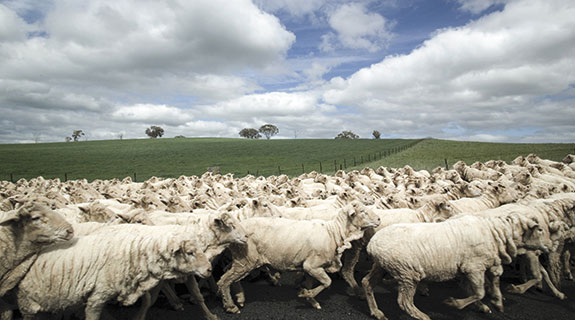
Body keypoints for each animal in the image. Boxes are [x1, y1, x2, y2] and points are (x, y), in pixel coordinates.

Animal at [16, 225, 213, 320]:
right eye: (190, 252)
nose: (210, 269)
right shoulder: (98, 295)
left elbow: (195, 296)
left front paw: (210, 315)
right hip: (28, 300)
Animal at [364, 212, 548, 320]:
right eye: (539, 230)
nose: (547, 247)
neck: (496, 234)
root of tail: (372, 244)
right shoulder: (474, 267)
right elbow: (479, 292)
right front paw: (454, 303)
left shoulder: (470, 268)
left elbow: (480, 287)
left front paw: (493, 303)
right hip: (407, 272)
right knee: (404, 301)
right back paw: (422, 316)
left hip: (382, 266)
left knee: (367, 283)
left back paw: (377, 312)